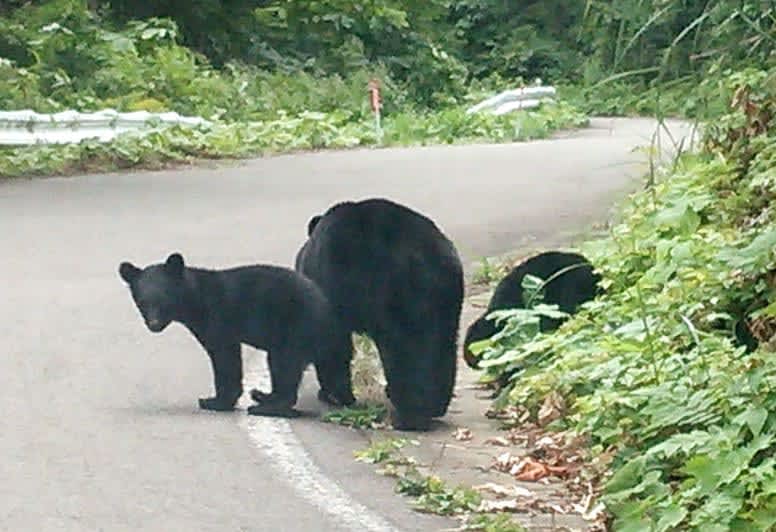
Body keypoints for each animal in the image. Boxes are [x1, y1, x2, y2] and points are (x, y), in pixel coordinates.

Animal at [118, 252, 354, 416]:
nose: (154, 324)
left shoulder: (217, 319)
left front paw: (215, 401)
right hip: (326, 346)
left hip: (296, 329)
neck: (195, 300)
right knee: (333, 371)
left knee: (284, 364)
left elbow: (224, 357)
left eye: (163, 300)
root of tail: (330, 314)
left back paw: (267, 407)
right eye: (143, 302)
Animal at [292, 197, 460, 430]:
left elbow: (332, 341)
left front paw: (335, 395)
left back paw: (410, 413)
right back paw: (434, 406)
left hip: (396, 295)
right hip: (446, 301)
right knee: (442, 345)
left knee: (405, 349)